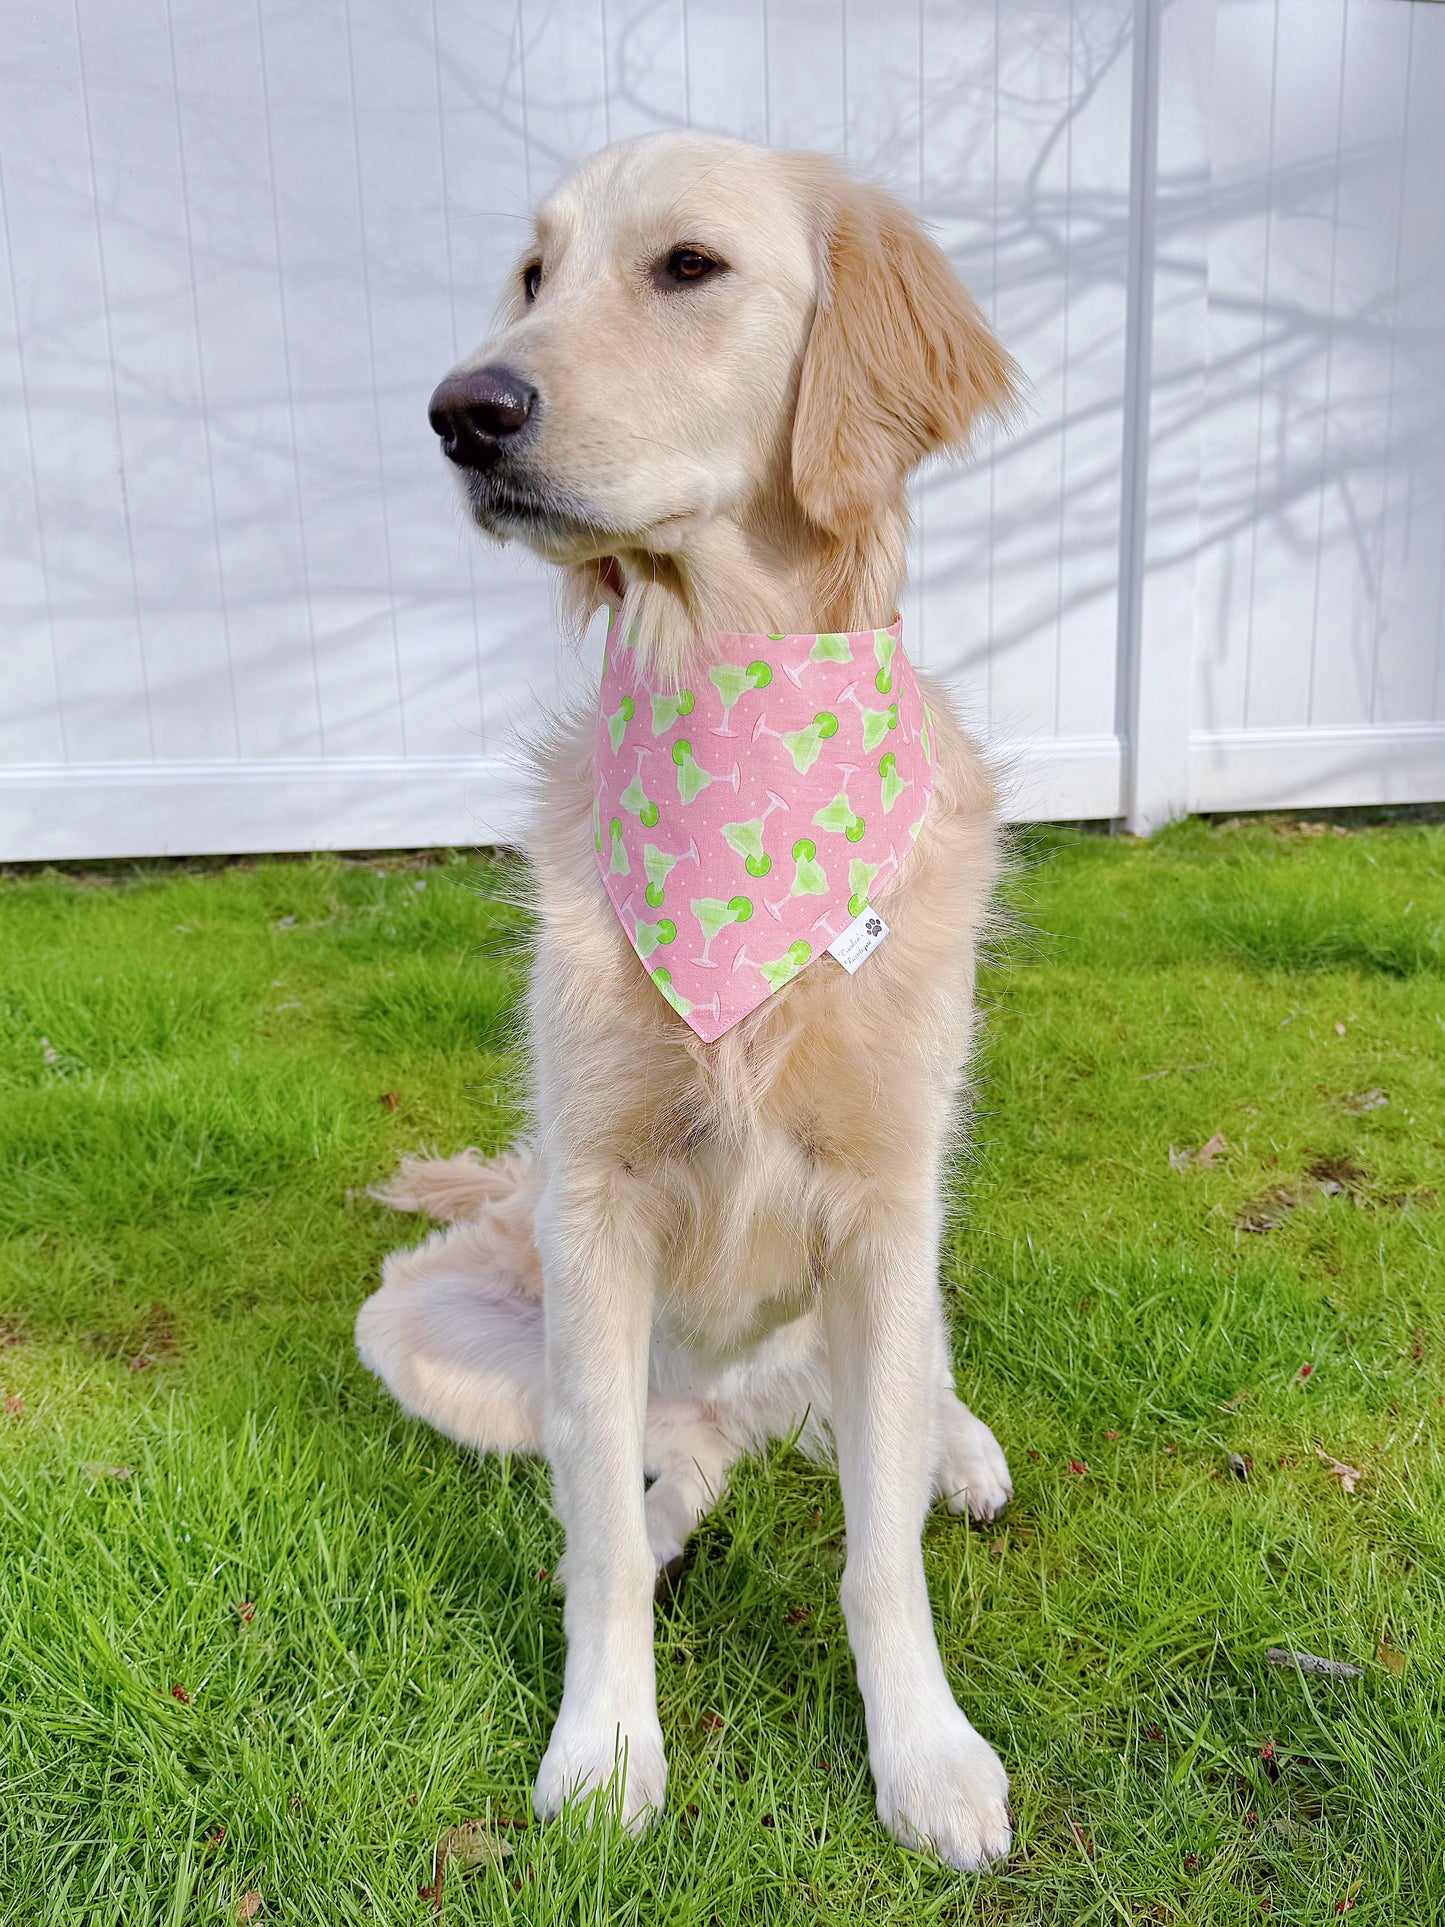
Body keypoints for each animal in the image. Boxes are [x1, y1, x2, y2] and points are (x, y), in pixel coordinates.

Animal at [356, 131, 1024, 1865]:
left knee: (875, 1413)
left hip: (907, 1259)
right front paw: (603, 1747)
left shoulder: (884, 1198)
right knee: (673, 1455)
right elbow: (593, 1531)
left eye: (687, 268)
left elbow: (878, 1550)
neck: (732, 700)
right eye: (532, 275)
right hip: (437, 1326)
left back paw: (958, 1449)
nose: (461, 410)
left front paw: (925, 1754)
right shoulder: (599, 1207)